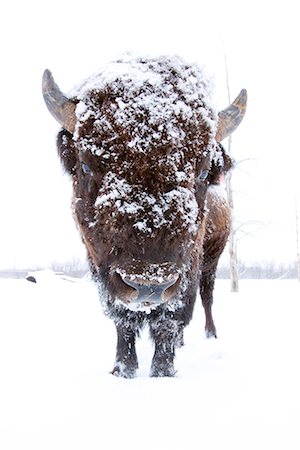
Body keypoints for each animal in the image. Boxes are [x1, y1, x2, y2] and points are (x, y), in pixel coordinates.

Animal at [41, 56, 246, 380]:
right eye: (86, 165)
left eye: (202, 172)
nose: (149, 285)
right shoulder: (102, 269)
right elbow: (124, 321)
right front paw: (123, 370)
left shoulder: (187, 269)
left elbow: (168, 320)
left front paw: (163, 371)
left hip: (212, 260)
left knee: (207, 295)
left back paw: (210, 335)